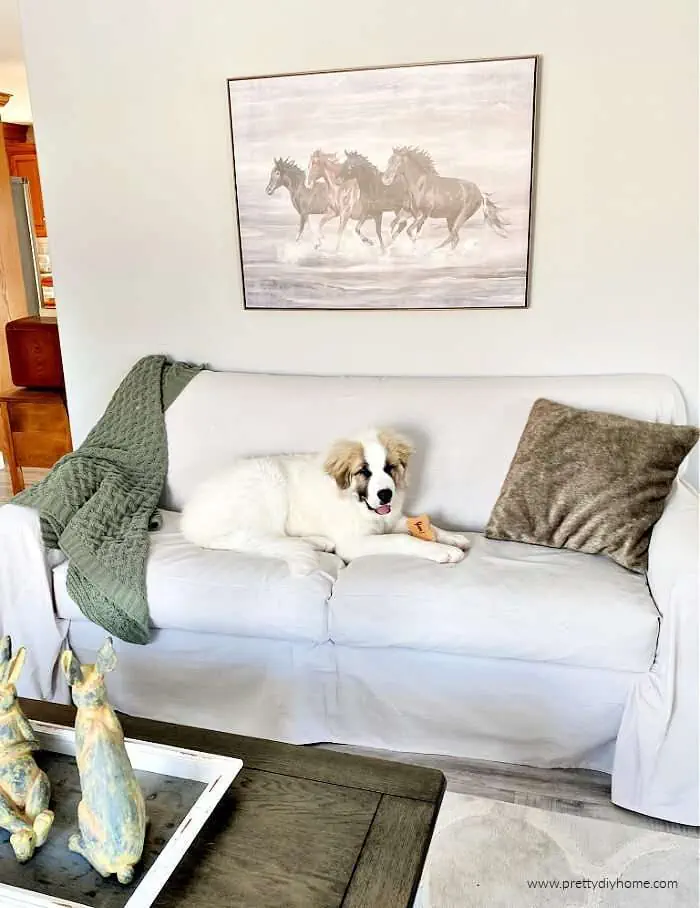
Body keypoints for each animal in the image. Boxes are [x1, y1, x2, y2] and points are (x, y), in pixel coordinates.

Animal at [180, 428, 470, 576]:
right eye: (364, 471)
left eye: (389, 468)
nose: (386, 494)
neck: (355, 501)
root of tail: (188, 519)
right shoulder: (354, 542)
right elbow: (403, 540)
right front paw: (444, 552)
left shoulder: (389, 518)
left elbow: (421, 527)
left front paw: (453, 537)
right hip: (268, 483)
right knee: (262, 538)